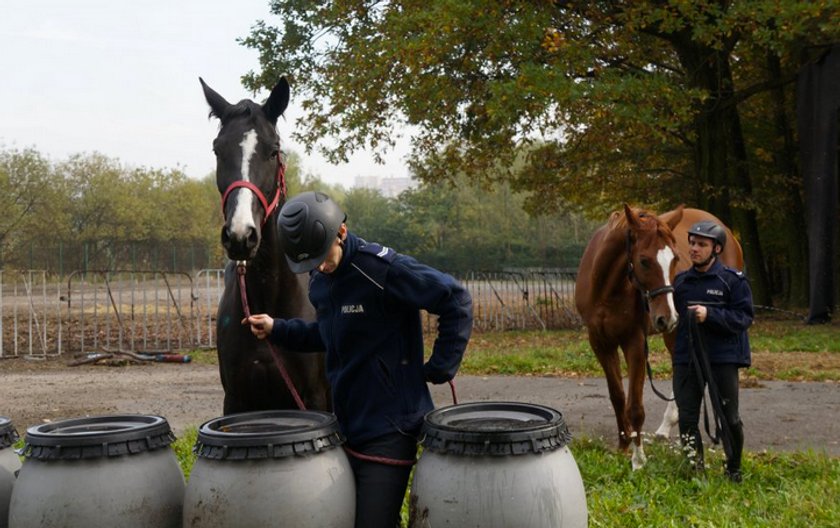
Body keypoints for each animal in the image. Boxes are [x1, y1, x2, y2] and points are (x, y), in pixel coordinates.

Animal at [576, 204, 744, 468]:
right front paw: (623, 445)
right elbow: (617, 396)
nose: (668, 316)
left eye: (674, 258)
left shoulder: (634, 342)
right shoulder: (600, 343)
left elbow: (635, 405)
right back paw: (666, 427)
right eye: (644, 261)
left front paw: (638, 459)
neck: (606, 289)